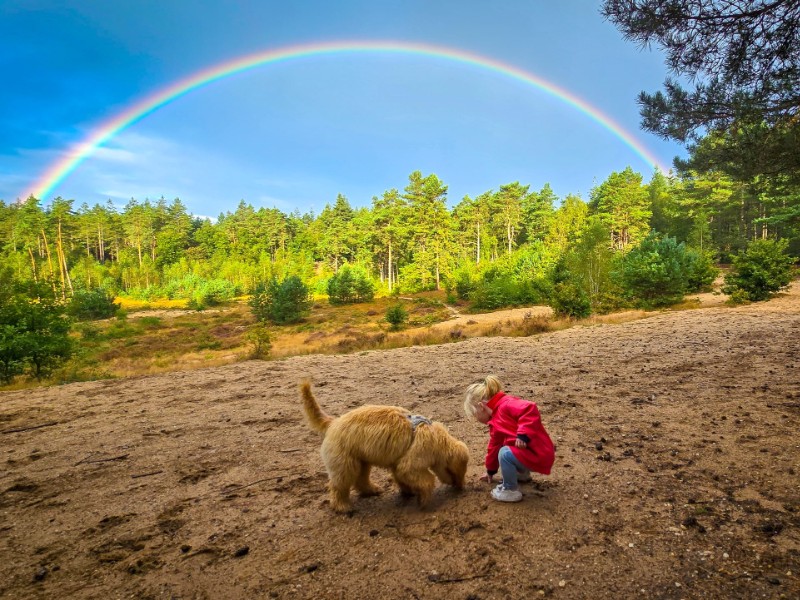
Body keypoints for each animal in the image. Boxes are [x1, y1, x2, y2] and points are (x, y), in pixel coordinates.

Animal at [300, 382, 468, 512]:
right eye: (456, 472)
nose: (460, 488)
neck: (436, 438)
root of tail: (333, 423)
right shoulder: (411, 464)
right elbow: (426, 480)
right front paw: (423, 501)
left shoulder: (398, 464)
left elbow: (402, 478)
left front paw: (408, 492)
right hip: (344, 464)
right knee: (338, 485)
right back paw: (342, 506)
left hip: (361, 461)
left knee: (360, 480)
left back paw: (372, 490)